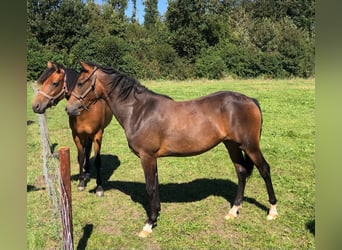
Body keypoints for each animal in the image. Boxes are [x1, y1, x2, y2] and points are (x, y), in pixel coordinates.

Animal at [31, 61, 113, 196]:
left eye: (55, 83)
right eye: (43, 82)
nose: (35, 106)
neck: (84, 110)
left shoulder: (97, 134)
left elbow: (97, 161)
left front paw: (99, 188)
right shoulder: (76, 135)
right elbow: (80, 157)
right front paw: (81, 183)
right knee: (87, 150)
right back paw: (86, 172)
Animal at [65, 61, 278, 237]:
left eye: (81, 82)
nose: (69, 108)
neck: (139, 111)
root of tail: (250, 100)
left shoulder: (147, 157)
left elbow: (150, 187)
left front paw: (148, 224)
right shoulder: (153, 158)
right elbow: (155, 185)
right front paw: (156, 215)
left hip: (250, 146)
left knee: (265, 170)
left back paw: (272, 211)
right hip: (231, 145)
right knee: (241, 172)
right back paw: (233, 211)